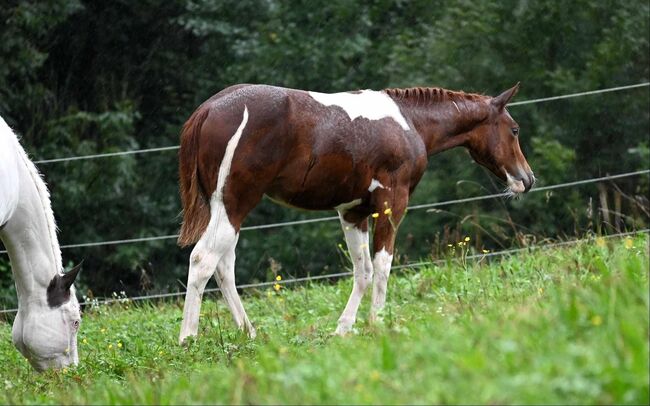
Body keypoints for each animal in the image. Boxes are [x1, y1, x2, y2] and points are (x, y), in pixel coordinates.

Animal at [176, 83, 534, 343]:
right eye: (515, 129)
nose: (527, 179)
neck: (409, 122)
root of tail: (206, 111)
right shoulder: (392, 203)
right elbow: (383, 265)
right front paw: (378, 323)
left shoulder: (353, 213)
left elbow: (363, 270)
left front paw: (344, 328)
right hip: (235, 203)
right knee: (204, 260)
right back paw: (188, 339)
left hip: (225, 209)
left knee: (224, 267)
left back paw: (248, 333)